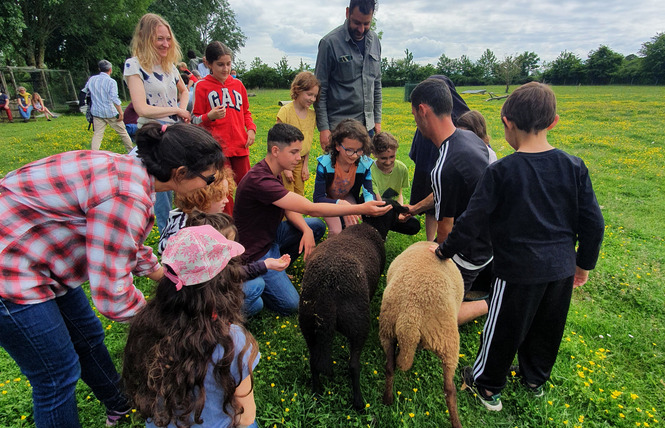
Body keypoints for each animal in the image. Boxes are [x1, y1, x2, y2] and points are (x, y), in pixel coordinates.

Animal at [378, 241, 462, 428]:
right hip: (448, 342)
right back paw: (457, 423)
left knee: (390, 367)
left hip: (386, 329)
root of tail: (411, 314)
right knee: (449, 390)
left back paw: (387, 400)